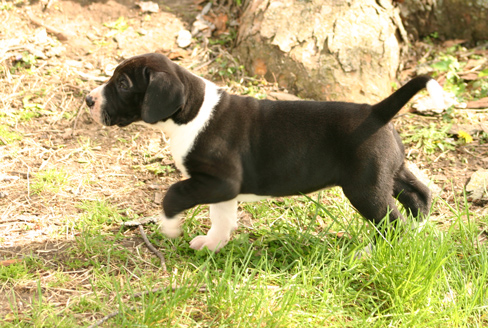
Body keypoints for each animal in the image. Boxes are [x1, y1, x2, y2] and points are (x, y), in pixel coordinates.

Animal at [86, 52, 444, 251]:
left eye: (122, 85)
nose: (89, 100)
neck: (192, 110)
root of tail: (376, 112)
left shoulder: (217, 181)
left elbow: (173, 193)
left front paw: (170, 227)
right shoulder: (219, 188)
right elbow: (221, 217)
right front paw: (213, 245)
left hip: (364, 189)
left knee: (391, 222)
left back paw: (372, 252)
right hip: (389, 173)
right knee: (419, 194)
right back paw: (420, 229)